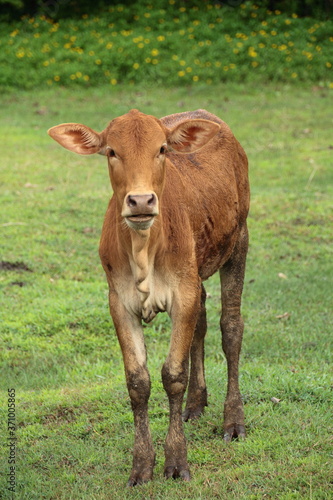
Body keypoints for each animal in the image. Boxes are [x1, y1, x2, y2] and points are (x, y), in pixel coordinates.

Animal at [48, 108, 248, 484]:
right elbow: (137, 381)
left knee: (231, 327)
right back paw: (196, 404)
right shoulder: (119, 300)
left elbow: (173, 374)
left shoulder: (182, 291)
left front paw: (177, 461)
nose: (141, 200)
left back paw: (233, 420)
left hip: (238, 240)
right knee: (201, 322)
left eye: (162, 149)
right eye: (112, 151)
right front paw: (141, 465)